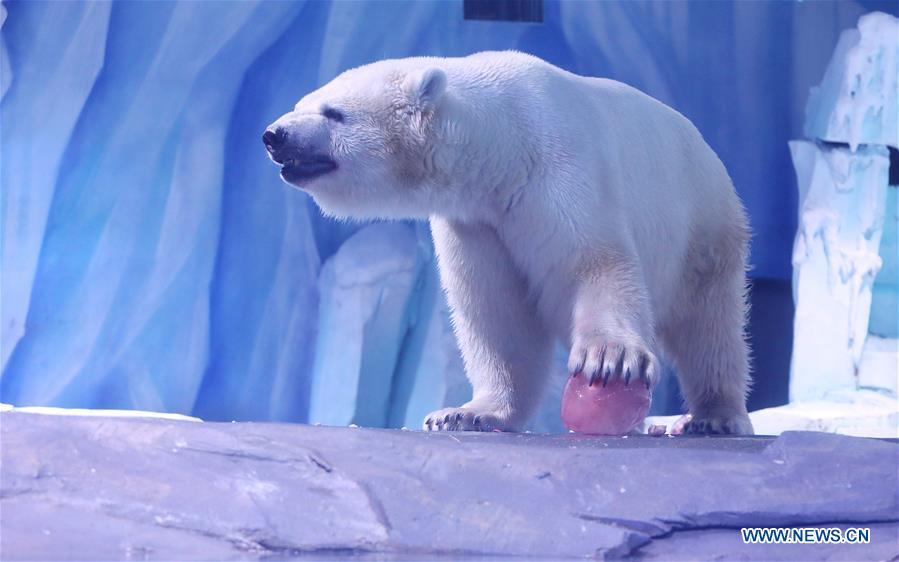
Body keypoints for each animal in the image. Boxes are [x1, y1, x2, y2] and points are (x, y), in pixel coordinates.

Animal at [264, 51, 754, 435]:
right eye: (300, 102)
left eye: (333, 112)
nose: (273, 135)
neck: (505, 145)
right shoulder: (477, 221)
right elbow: (497, 312)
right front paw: (464, 414)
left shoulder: (560, 171)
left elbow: (594, 261)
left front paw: (608, 360)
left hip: (703, 225)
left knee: (708, 324)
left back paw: (712, 416)